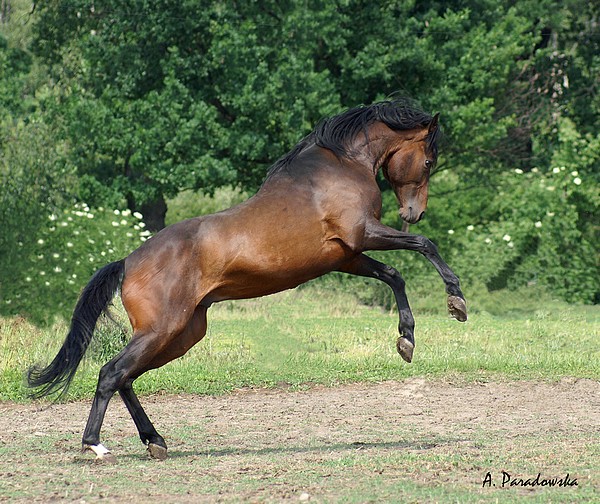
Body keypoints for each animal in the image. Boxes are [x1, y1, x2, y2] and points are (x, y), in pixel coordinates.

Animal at [28, 100, 466, 462]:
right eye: (429, 162)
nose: (413, 213)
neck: (341, 166)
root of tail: (128, 261)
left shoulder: (346, 255)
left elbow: (394, 275)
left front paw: (406, 340)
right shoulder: (362, 235)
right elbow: (424, 246)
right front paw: (456, 301)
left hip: (181, 335)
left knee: (126, 378)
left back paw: (155, 441)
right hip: (161, 330)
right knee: (111, 374)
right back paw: (95, 446)